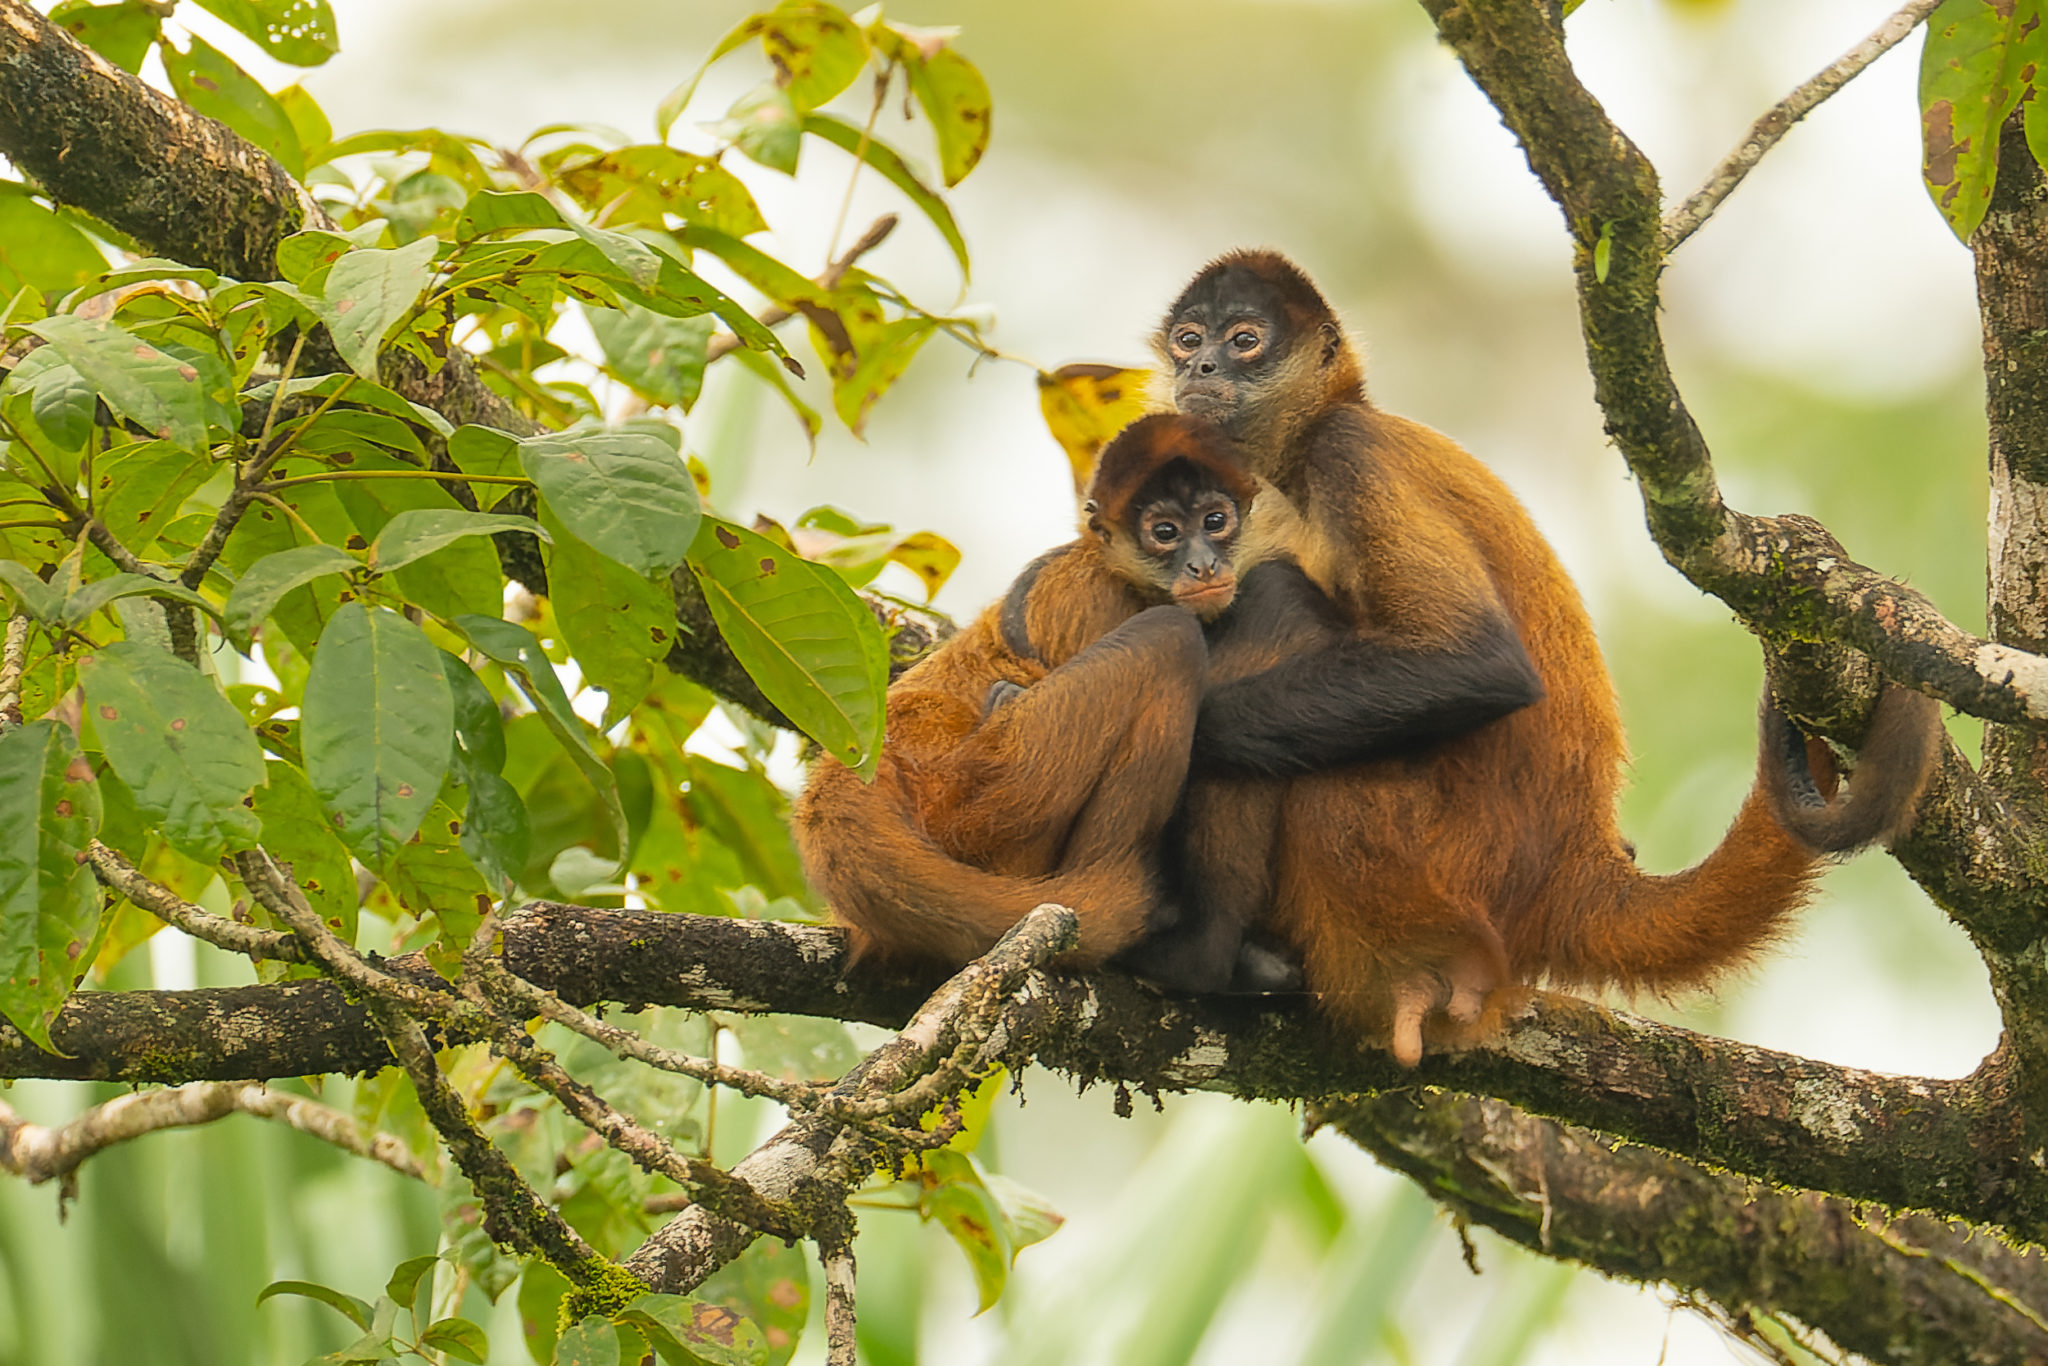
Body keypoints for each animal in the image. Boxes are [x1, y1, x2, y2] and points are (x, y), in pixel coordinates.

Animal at [1155, 250, 1933, 1064]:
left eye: (1245, 341)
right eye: (1188, 339)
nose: (1201, 365)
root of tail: (1572, 874)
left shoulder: (1350, 451)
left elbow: (1478, 662)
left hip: (1436, 859)